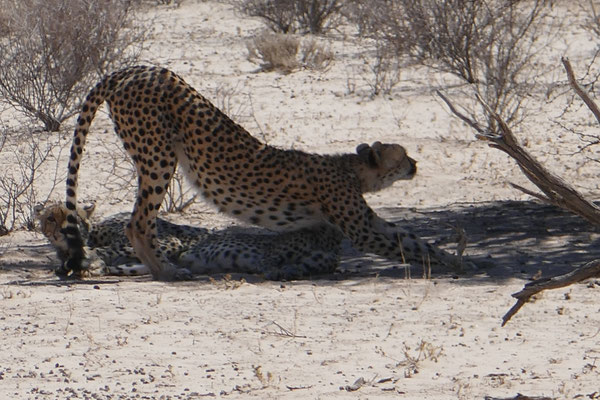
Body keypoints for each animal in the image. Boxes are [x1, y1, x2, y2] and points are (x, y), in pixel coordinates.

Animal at [65, 65, 468, 280]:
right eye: (402, 156)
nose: (415, 165)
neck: (352, 170)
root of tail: (137, 67)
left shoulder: (363, 221)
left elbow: (413, 239)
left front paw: (460, 259)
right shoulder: (359, 228)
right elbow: (400, 245)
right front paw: (452, 264)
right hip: (158, 157)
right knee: (137, 222)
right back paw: (167, 272)